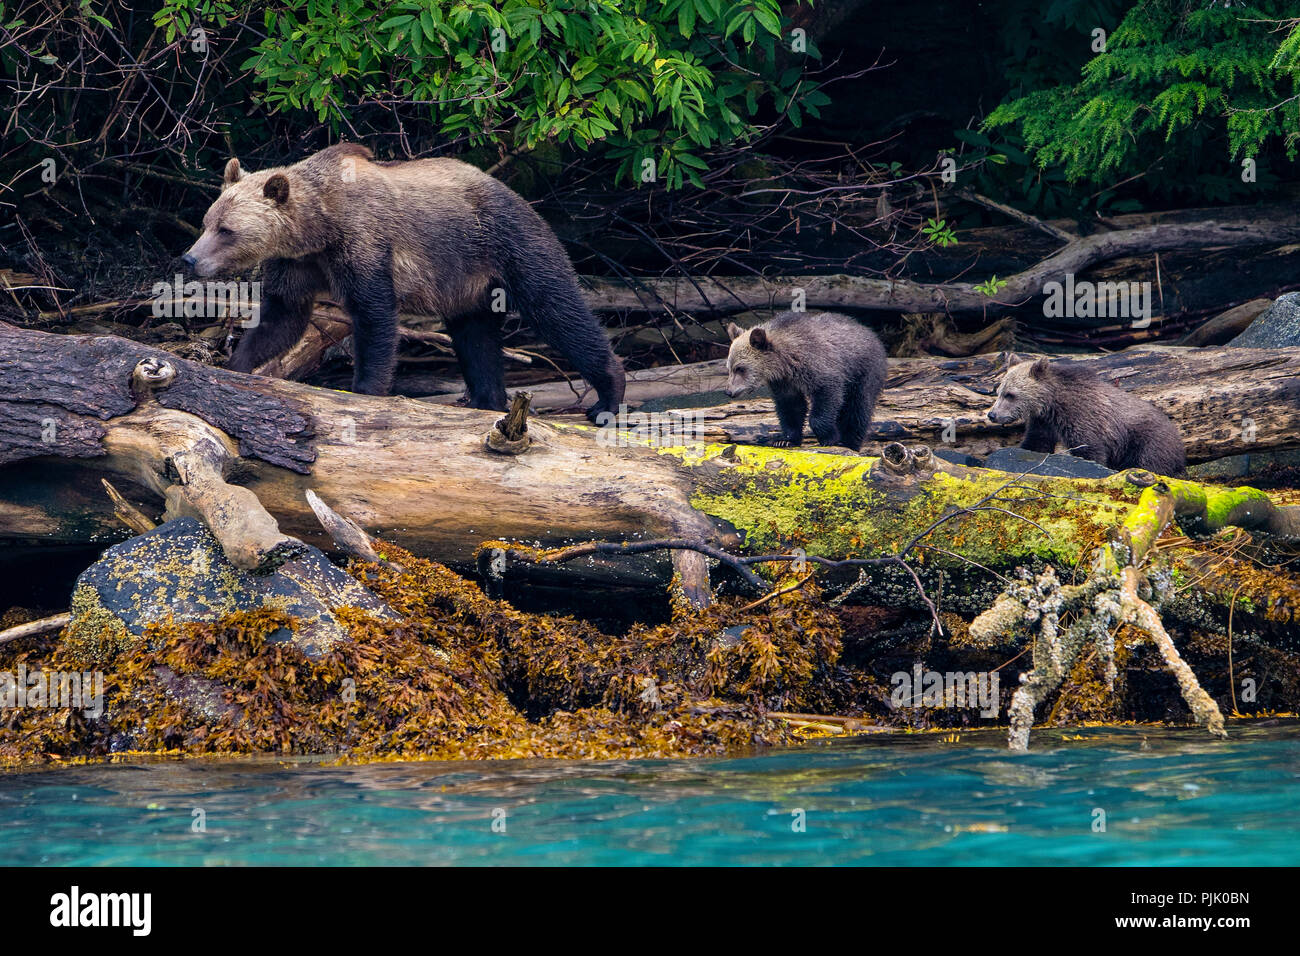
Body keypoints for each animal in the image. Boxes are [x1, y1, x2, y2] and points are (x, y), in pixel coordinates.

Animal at [182, 143, 624, 421]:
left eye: (226, 230)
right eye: (207, 222)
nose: (190, 259)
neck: (320, 226)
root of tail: (513, 191)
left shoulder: (364, 242)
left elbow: (375, 316)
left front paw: (365, 389)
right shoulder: (298, 263)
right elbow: (282, 318)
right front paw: (237, 365)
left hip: (506, 240)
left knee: (556, 307)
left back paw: (608, 395)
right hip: (467, 281)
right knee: (476, 337)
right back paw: (486, 399)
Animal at [728, 310, 889, 452]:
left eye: (740, 368)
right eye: (729, 368)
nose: (729, 391)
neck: (786, 362)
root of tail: (870, 333)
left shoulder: (820, 368)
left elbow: (827, 396)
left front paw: (830, 438)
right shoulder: (784, 382)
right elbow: (791, 408)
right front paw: (785, 440)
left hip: (864, 372)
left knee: (858, 407)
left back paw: (850, 442)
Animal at [982, 356, 1190, 476]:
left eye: (1010, 394)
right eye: (999, 391)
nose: (992, 414)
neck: (1051, 404)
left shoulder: (1083, 419)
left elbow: (1090, 450)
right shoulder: (1043, 422)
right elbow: (1037, 443)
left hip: (1147, 443)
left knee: (1150, 464)